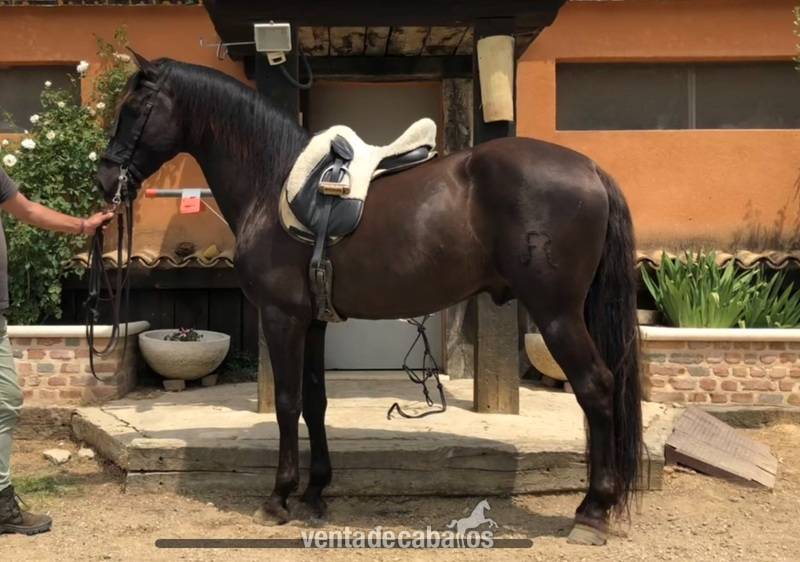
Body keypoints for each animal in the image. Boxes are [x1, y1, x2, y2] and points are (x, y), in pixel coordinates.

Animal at [91, 49, 644, 547]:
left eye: (134, 108)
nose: (104, 179)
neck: (270, 183)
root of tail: (590, 168)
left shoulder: (281, 317)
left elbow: (287, 403)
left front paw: (278, 499)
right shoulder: (313, 321)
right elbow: (315, 402)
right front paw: (315, 493)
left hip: (557, 315)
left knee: (596, 388)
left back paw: (592, 513)